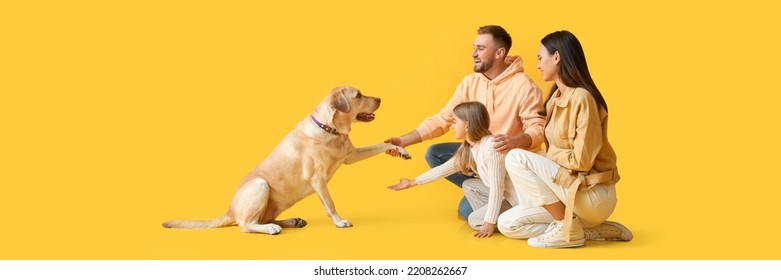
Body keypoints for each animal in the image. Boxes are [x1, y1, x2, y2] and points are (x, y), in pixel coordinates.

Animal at [162, 86, 412, 234]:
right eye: (358, 95)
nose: (380, 98)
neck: (330, 129)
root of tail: (229, 211)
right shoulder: (317, 179)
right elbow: (330, 204)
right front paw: (339, 221)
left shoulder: (351, 155)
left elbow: (382, 145)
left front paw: (400, 150)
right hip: (260, 185)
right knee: (246, 225)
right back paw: (273, 228)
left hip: (276, 204)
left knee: (260, 220)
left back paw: (291, 222)